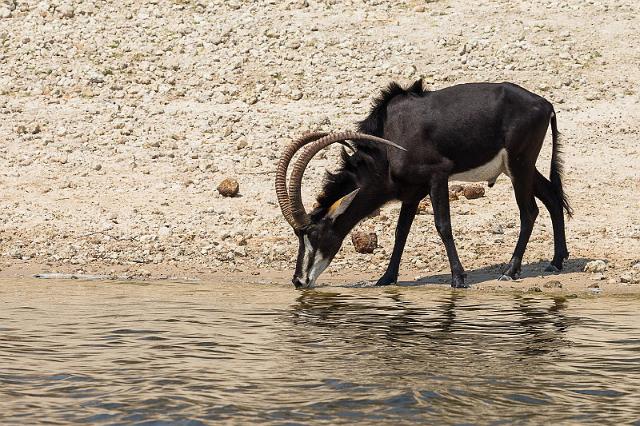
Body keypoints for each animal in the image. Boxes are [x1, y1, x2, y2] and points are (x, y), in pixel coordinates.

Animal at [276, 79, 568, 290]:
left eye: (313, 234)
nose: (298, 281)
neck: (389, 144)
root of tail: (545, 104)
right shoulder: (411, 192)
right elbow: (401, 232)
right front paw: (386, 278)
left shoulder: (438, 176)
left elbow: (443, 225)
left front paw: (458, 278)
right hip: (518, 168)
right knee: (553, 196)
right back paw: (556, 262)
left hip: (520, 166)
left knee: (529, 211)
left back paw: (510, 271)